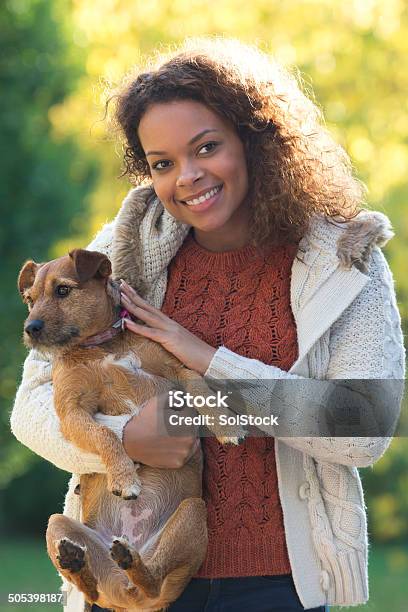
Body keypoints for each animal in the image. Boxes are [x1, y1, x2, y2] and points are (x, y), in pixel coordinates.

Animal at [18, 250, 236, 612]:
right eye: (30, 300)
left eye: (63, 290)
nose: (30, 328)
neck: (101, 348)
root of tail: (125, 595)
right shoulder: (72, 412)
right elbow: (105, 435)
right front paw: (124, 478)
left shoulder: (178, 370)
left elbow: (199, 385)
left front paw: (224, 424)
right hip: (56, 523)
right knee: (92, 589)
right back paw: (76, 560)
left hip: (192, 513)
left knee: (152, 579)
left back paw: (129, 561)